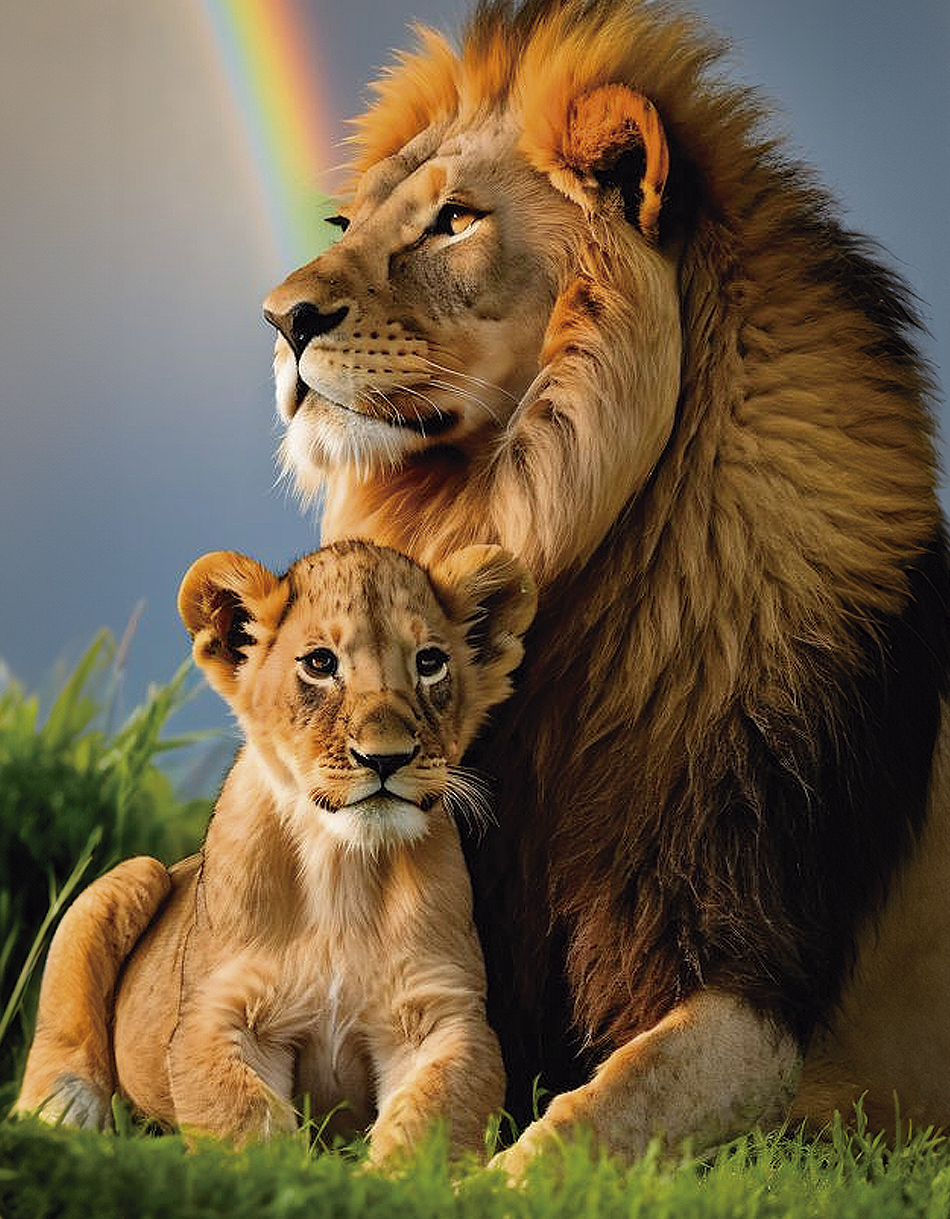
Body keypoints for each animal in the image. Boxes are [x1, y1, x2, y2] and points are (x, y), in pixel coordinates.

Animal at [16, 539, 537, 1162]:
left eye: (429, 662)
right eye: (320, 664)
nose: (384, 758)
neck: (343, 868)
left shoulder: (447, 1016)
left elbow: (428, 1123)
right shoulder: (215, 1014)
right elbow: (246, 1124)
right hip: (129, 878)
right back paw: (62, 1112)